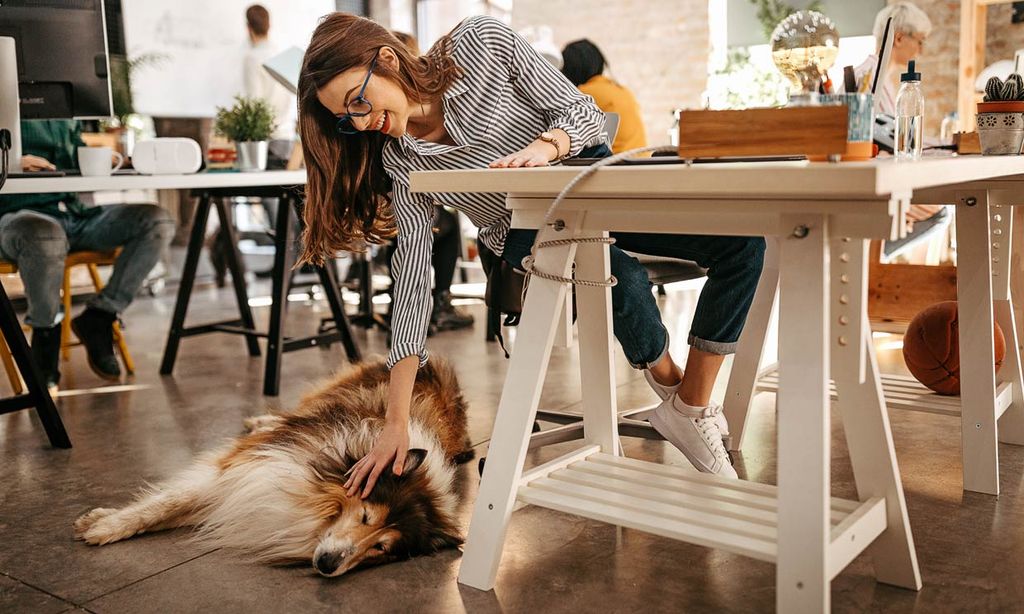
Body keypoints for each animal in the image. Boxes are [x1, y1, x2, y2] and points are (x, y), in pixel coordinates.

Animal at [74, 358, 473, 577]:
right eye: (364, 517)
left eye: (381, 549)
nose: (328, 564)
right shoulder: (245, 467)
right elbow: (163, 505)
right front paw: (105, 525)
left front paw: (102, 522)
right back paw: (261, 420)